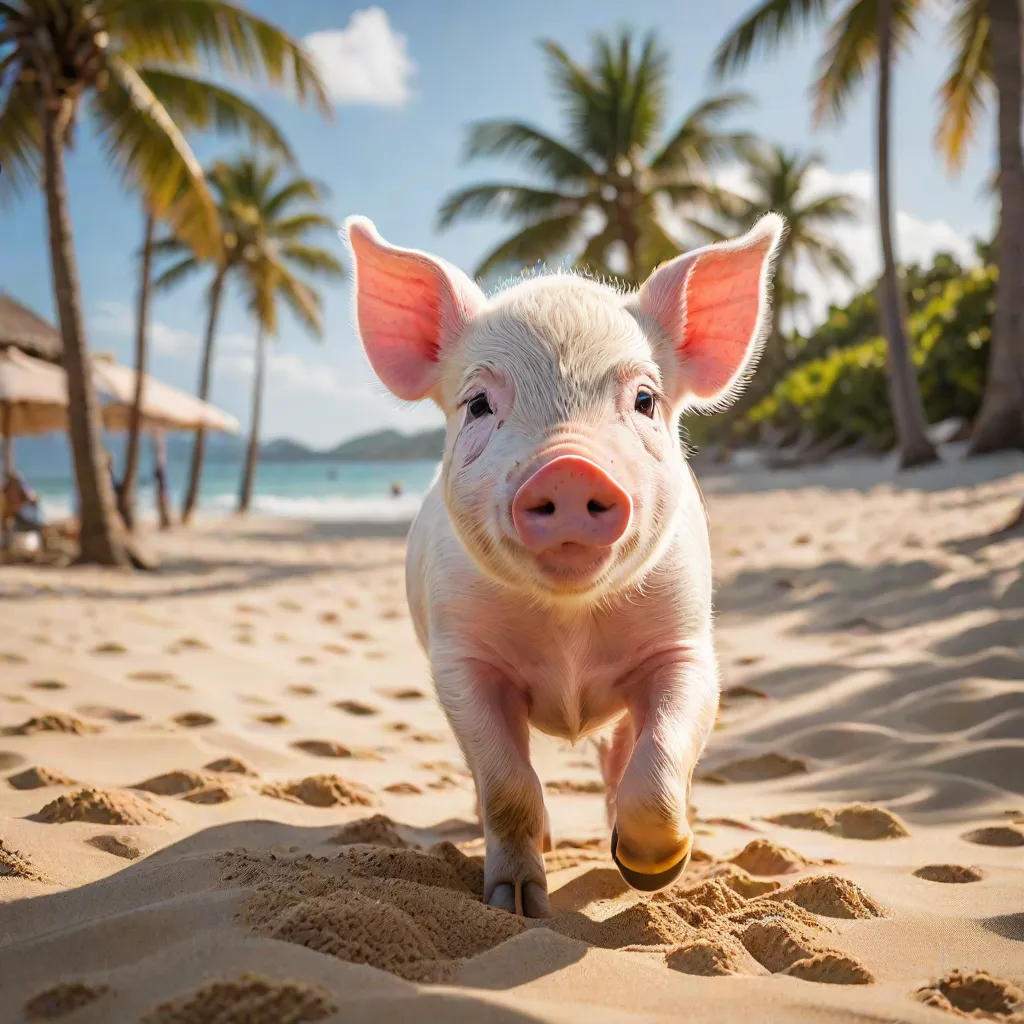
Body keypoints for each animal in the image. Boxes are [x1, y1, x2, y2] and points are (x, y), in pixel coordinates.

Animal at [345, 213, 785, 917]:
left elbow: (662, 755)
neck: (569, 626)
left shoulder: (687, 644)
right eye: (477, 404)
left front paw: (652, 870)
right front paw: (517, 905)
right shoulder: (459, 659)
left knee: (621, 752)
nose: (570, 466)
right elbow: (507, 784)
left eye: (644, 400)